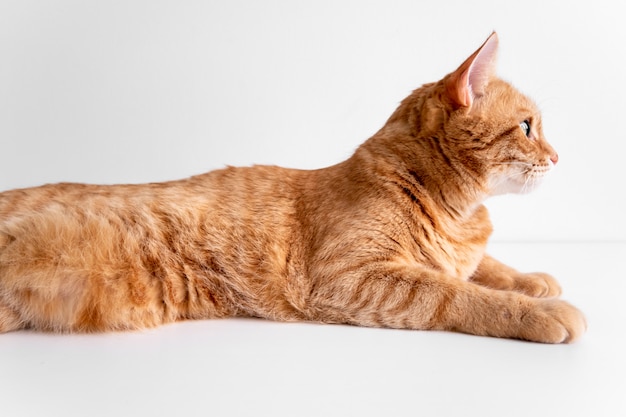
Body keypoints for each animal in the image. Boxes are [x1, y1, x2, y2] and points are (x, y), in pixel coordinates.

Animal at [0, 33, 584, 342]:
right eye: (528, 127)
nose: (558, 157)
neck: (458, 215)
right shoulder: (351, 278)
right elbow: (457, 291)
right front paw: (537, 312)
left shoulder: (446, 256)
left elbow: (486, 266)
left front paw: (532, 279)